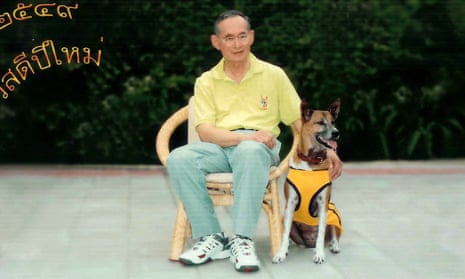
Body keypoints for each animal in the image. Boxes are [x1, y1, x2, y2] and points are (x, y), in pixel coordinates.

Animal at [272, 99, 340, 264]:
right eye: (320, 122)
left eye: (333, 122)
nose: (337, 133)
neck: (311, 161)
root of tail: (308, 243)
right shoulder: (290, 203)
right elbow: (284, 235)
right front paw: (281, 253)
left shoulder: (323, 204)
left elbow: (321, 233)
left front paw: (320, 254)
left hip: (332, 214)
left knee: (332, 232)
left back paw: (334, 245)